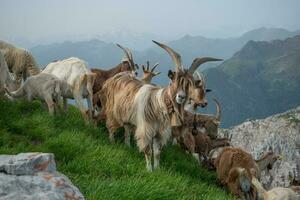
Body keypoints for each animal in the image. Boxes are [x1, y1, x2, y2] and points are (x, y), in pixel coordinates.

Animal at [99, 40, 221, 170]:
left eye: (189, 84)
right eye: (174, 80)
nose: (181, 97)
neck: (158, 103)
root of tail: (117, 76)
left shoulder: (160, 132)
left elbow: (157, 152)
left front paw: (157, 169)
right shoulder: (146, 129)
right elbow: (148, 151)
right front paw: (149, 170)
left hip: (127, 116)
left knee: (127, 130)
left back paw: (127, 146)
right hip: (112, 109)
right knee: (110, 125)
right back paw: (112, 141)